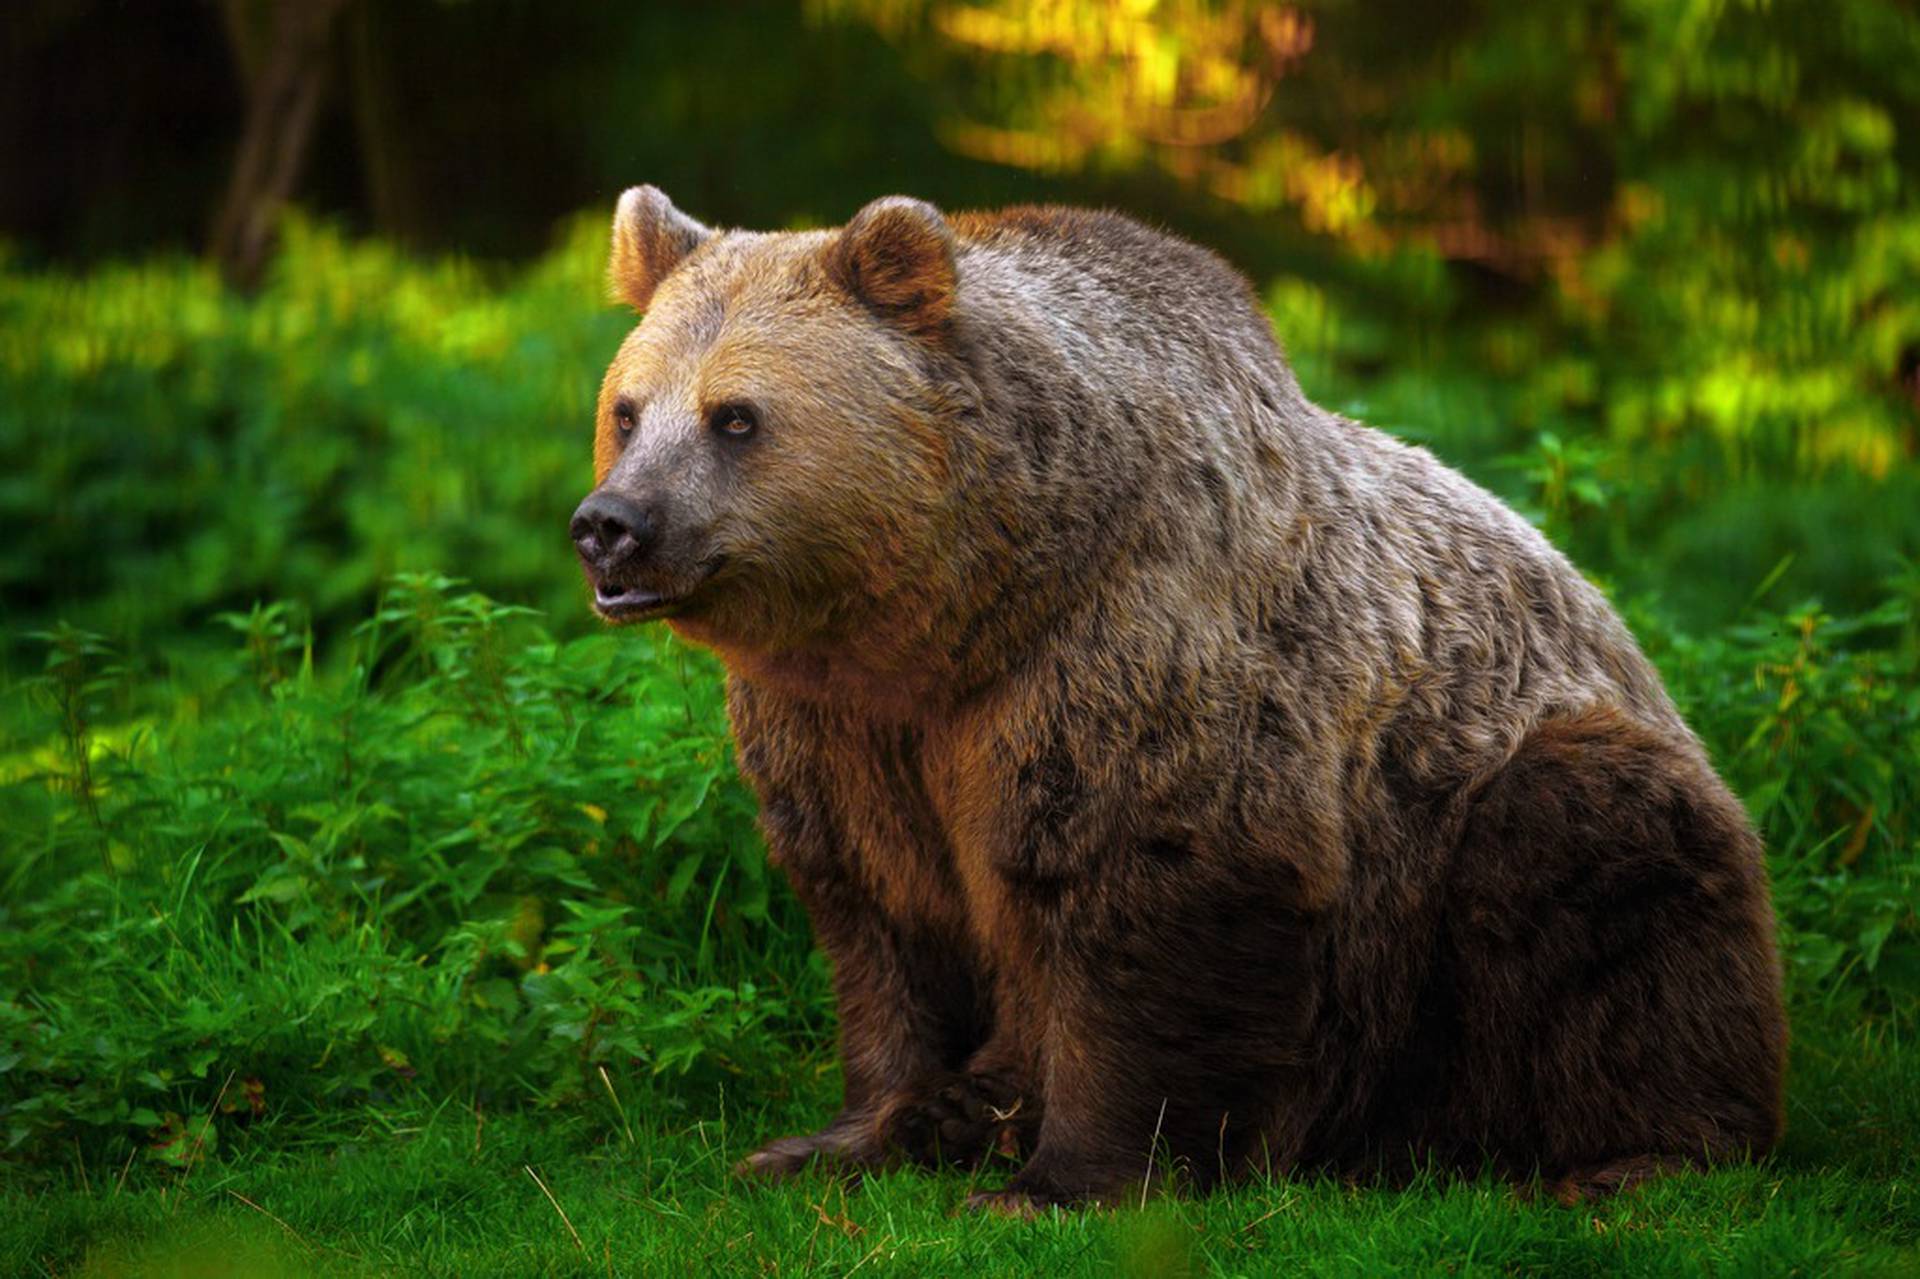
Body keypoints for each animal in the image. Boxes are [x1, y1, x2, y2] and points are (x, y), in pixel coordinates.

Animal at [564, 184, 1781, 1213]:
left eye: (735, 417)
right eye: (629, 408)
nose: (610, 525)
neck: (962, 607)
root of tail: (1629, 642)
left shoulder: (1129, 659)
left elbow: (1144, 896)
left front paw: (1060, 1180)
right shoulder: (843, 728)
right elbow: (880, 914)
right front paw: (847, 1132)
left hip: (1489, 831)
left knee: (1601, 875)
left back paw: (1633, 1154)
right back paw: (975, 1105)